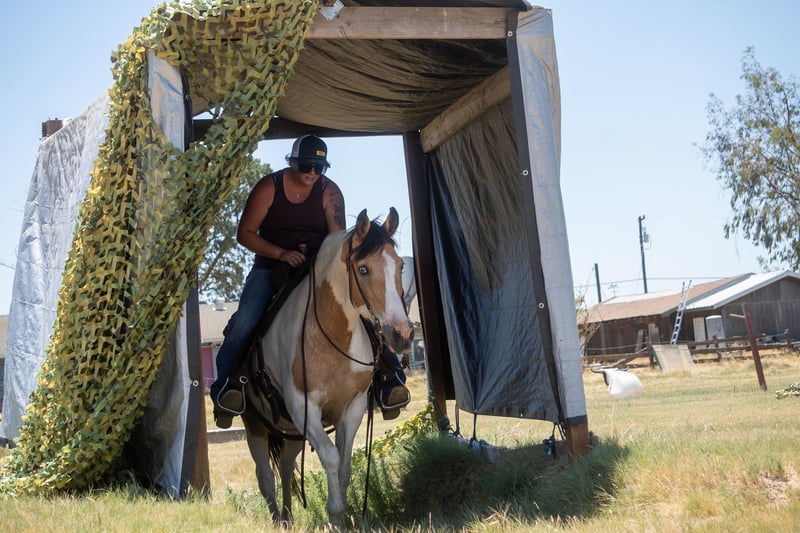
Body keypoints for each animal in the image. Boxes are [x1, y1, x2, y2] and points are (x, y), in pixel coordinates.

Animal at [239, 207, 414, 528]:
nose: (402, 334)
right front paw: (334, 514)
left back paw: (287, 518)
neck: (332, 334)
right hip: (255, 425)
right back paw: (277, 520)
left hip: (290, 432)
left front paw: (342, 518)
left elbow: (344, 463)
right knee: (265, 476)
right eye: (363, 269)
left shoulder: (353, 406)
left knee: (285, 467)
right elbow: (331, 457)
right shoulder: (303, 407)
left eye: (399, 266)